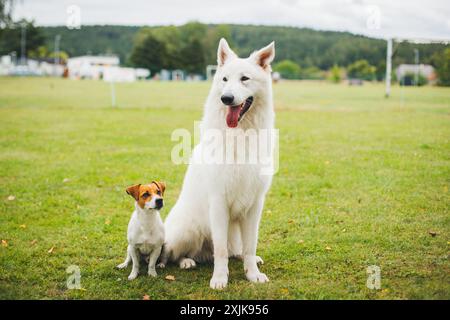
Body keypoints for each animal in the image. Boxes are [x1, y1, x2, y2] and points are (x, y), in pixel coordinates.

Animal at [160, 38, 276, 290]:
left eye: (244, 78)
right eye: (224, 79)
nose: (226, 98)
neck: (240, 135)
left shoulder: (255, 205)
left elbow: (250, 246)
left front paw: (252, 274)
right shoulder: (219, 202)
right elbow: (221, 251)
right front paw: (220, 279)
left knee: (236, 250)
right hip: (188, 230)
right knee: (172, 253)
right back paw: (185, 262)